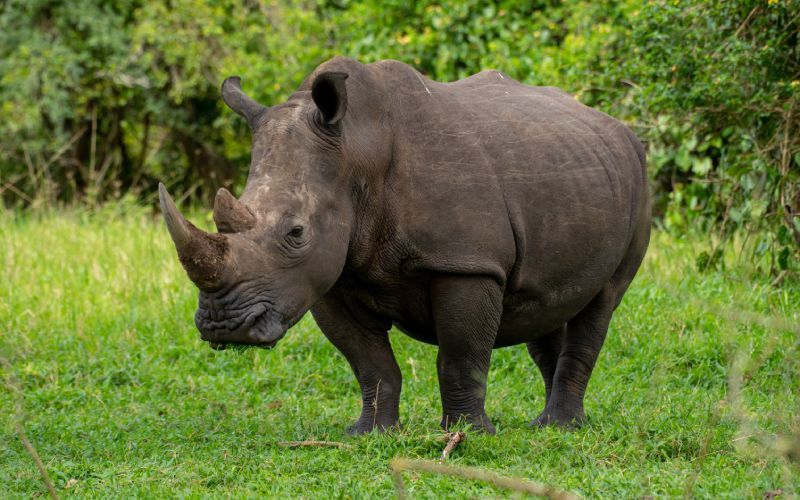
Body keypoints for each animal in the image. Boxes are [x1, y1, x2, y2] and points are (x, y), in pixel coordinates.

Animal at [159, 57, 650, 433]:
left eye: (296, 233)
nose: (224, 327)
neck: (356, 151)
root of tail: (618, 127)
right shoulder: (327, 276)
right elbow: (369, 362)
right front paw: (370, 433)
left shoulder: (465, 262)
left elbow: (461, 357)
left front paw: (468, 434)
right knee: (545, 305)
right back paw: (544, 424)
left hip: (637, 179)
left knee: (602, 303)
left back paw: (561, 426)